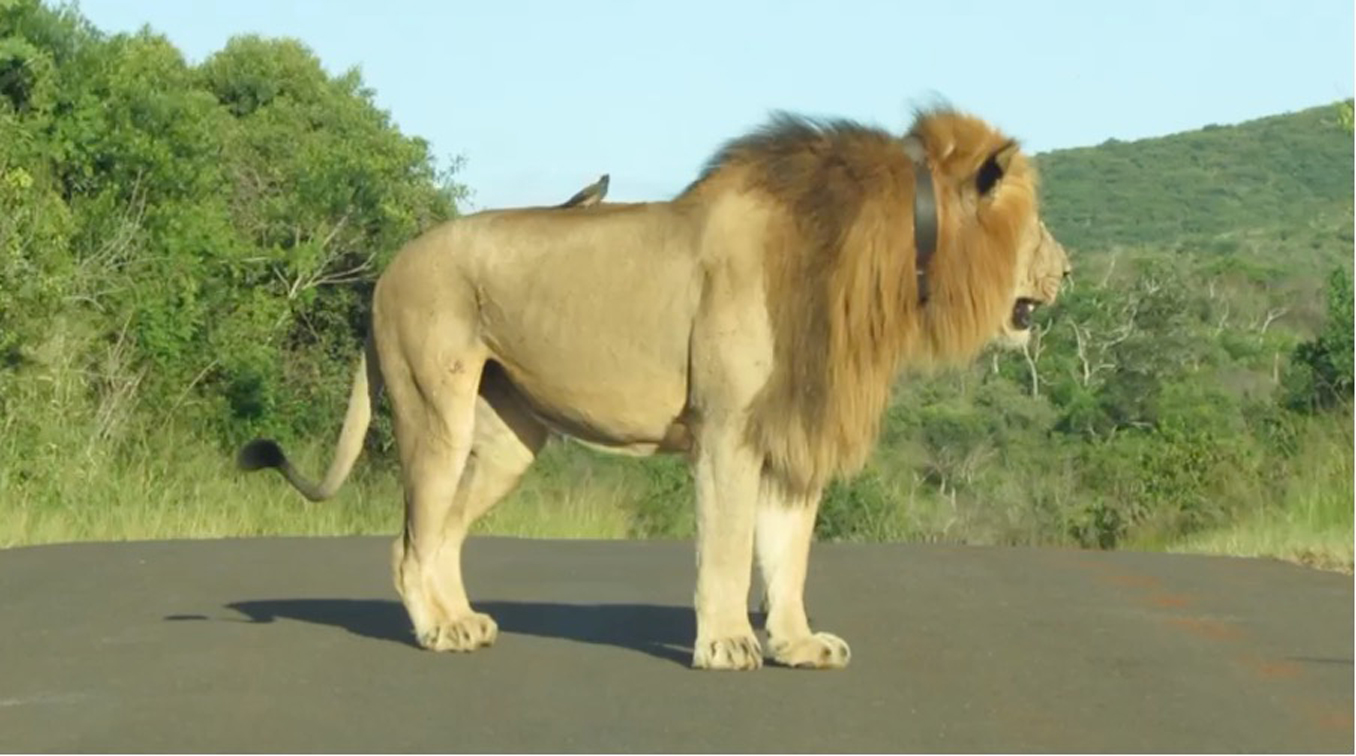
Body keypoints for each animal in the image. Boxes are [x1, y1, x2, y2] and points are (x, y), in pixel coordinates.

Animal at [239, 107, 1070, 671]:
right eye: (1035, 221)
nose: (1067, 269)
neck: (890, 261)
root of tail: (390, 268)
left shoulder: (792, 428)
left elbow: (789, 552)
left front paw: (797, 643)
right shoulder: (730, 429)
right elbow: (729, 548)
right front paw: (728, 643)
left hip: (506, 440)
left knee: (440, 532)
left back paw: (463, 622)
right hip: (432, 406)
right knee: (409, 539)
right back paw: (437, 630)